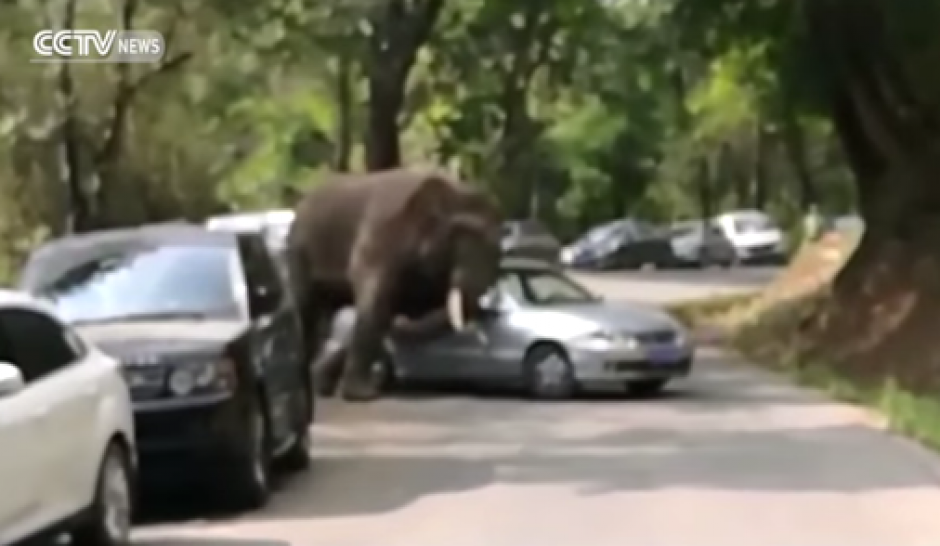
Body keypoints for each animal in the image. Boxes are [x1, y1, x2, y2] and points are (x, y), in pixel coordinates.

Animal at [285, 167, 503, 401]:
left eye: (499, 250)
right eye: (461, 236)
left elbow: (391, 315)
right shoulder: (379, 237)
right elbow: (376, 308)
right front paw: (363, 395)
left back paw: (319, 387)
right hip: (298, 250)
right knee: (306, 309)